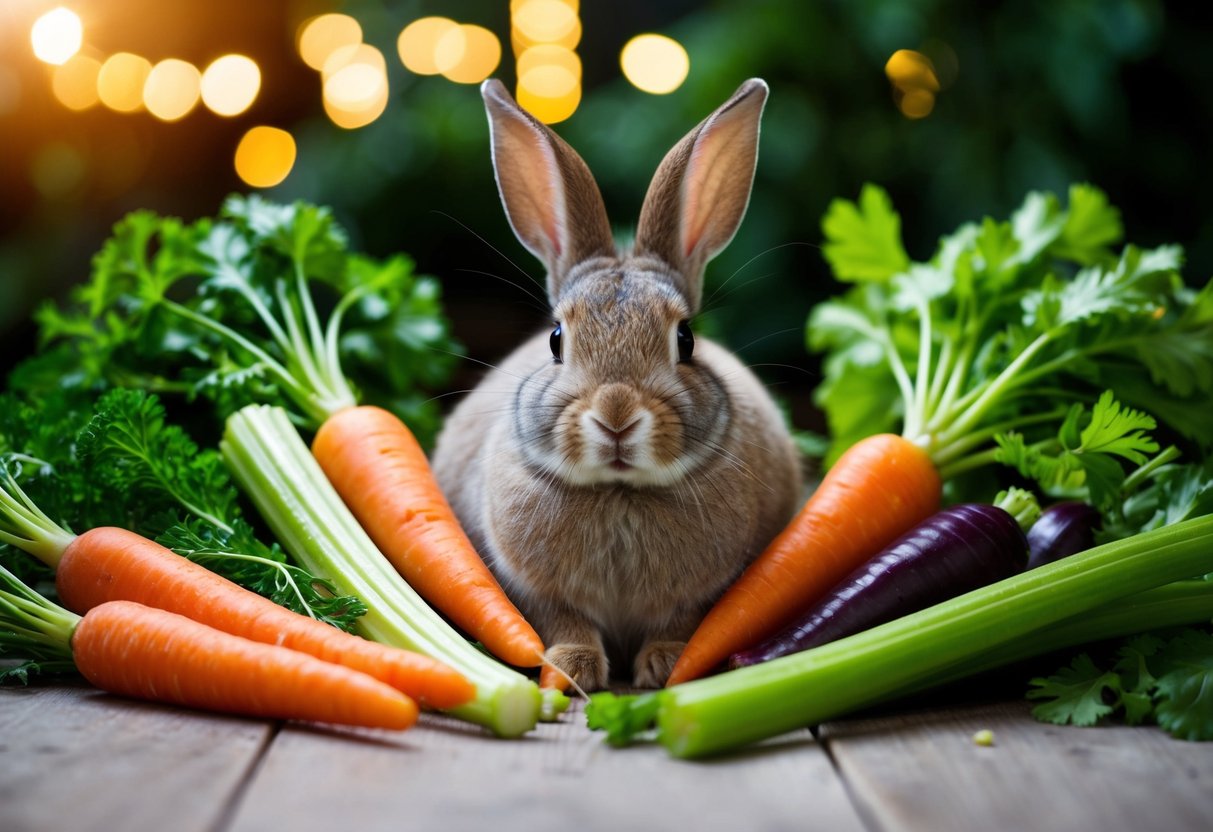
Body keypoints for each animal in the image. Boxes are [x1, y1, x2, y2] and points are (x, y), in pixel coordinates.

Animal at [430, 78, 803, 691]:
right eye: (556, 339)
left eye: (686, 339)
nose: (617, 414)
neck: (619, 492)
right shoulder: (534, 588)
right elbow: (565, 621)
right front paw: (572, 670)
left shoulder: (701, 592)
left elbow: (681, 620)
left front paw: (666, 665)